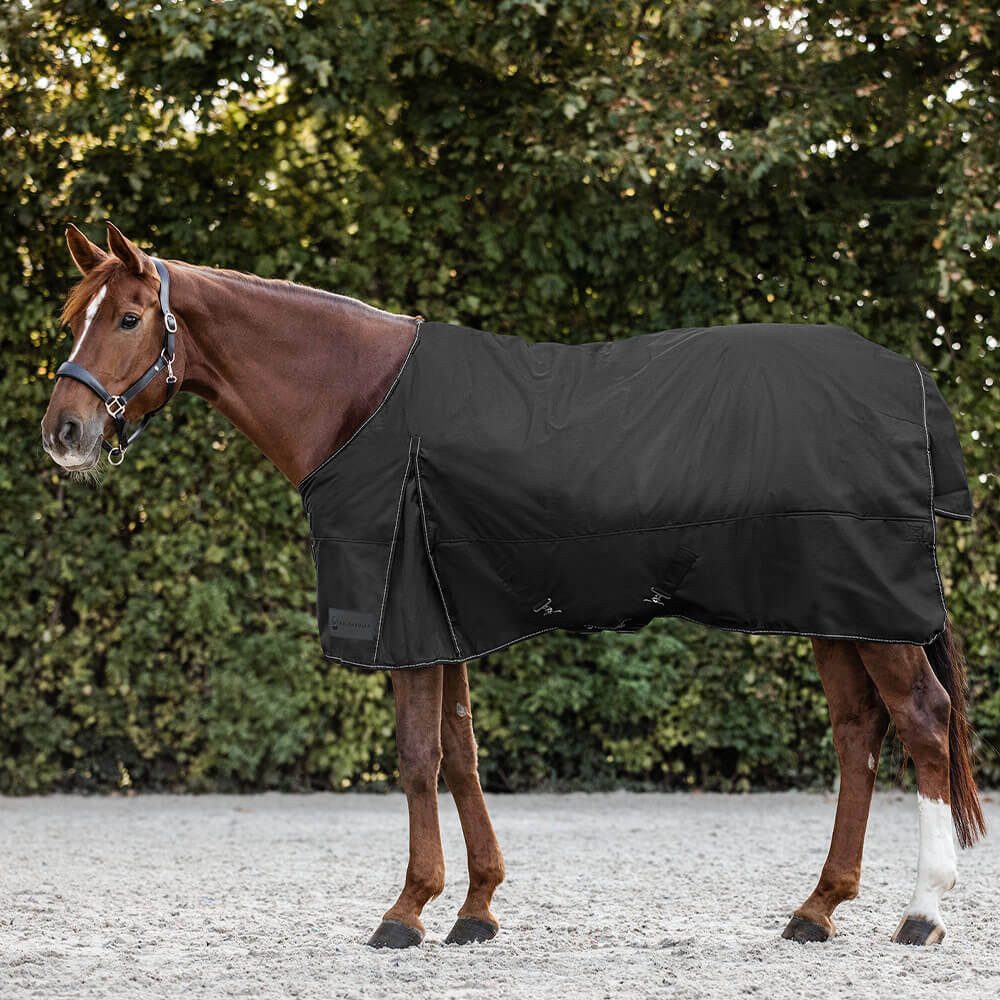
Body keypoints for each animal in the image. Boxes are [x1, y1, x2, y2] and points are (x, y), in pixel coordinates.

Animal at [40, 223, 985, 949]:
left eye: (129, 317)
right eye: (70, 317)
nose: (64, 432)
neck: (357, 398)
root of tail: (908, 377)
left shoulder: (406, 619)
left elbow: (418, 758)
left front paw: (406, 911)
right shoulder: (441, 613)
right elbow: (461, 755)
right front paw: (478, 907)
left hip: (875, 613)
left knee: (923, 723)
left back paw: (922, 914)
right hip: (839, 612)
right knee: (859, 734)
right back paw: (818, 909)